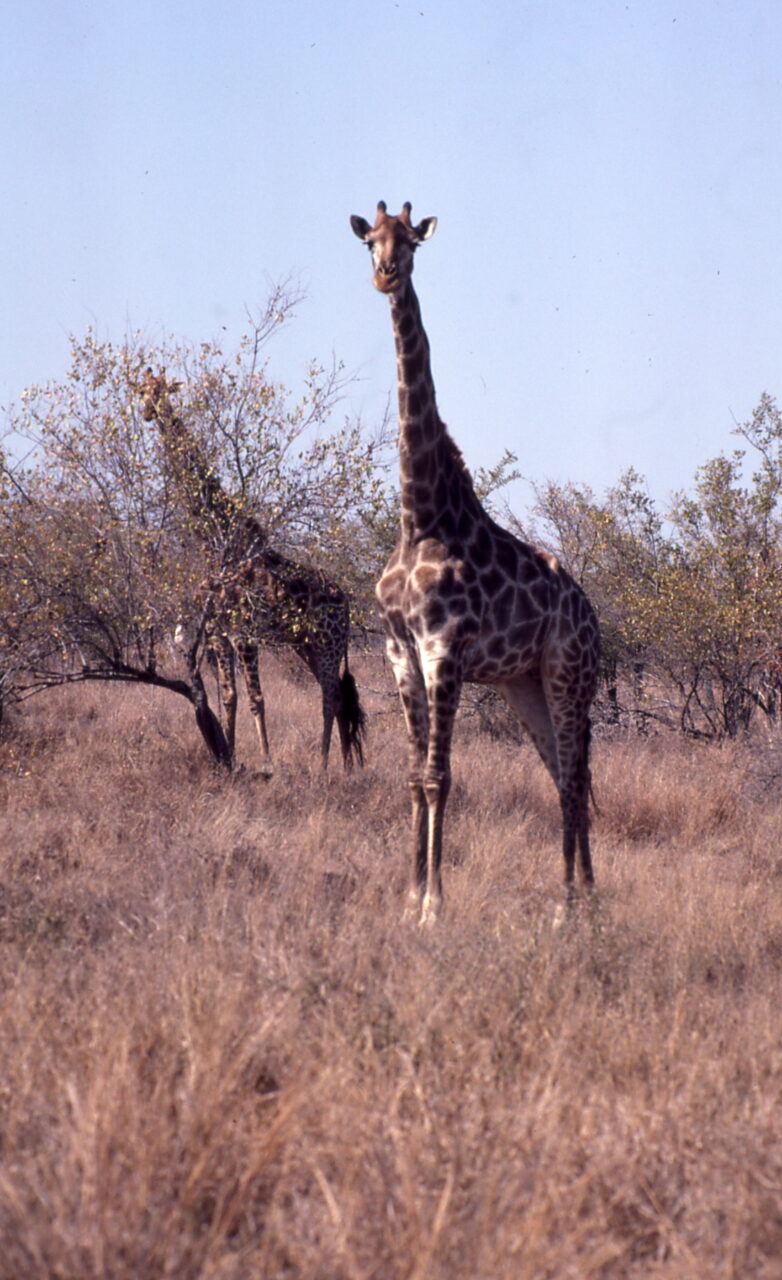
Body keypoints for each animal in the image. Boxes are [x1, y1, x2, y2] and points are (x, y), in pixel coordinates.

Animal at [140, 369, 366, 771]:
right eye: (140, 390)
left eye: (162, 390)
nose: (148, 413)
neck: (217, 543)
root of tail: (347, 601)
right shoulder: (218, 633)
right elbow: (229, 697)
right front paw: (230, 757)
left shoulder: (245, 634)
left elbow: (257, 699)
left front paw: (267, 762)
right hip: (306, 645)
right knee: (340, 696)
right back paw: (345, 767)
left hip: (329, 643)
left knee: (329, 696)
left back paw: (324, 766)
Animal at [350, 202, 600, 924]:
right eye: (370, 242)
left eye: (411, 243)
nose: (385, 275)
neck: (421, 516)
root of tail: (595, 619)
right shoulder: (399, 650)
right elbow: (413, 776)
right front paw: (409, 897)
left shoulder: (445, 648)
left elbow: (440, 776)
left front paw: (434, 905)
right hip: (524, 683)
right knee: (563, 771)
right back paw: (586, 900)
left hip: (569, 674)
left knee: (574, 776)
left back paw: (570, 907)